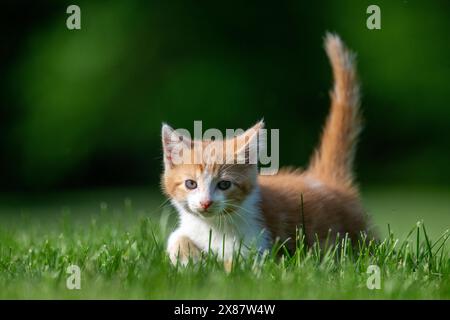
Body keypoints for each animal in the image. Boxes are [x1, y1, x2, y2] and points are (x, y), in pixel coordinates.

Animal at [162, 33, 372, 266]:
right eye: (191, 184)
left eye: (224, 184)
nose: (206, 203)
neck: (213, 225)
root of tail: (324, 179)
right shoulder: (189, 227)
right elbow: (175, 237)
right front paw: (188, 260)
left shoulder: (258, 245)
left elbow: (238, 265)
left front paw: (213, 267)